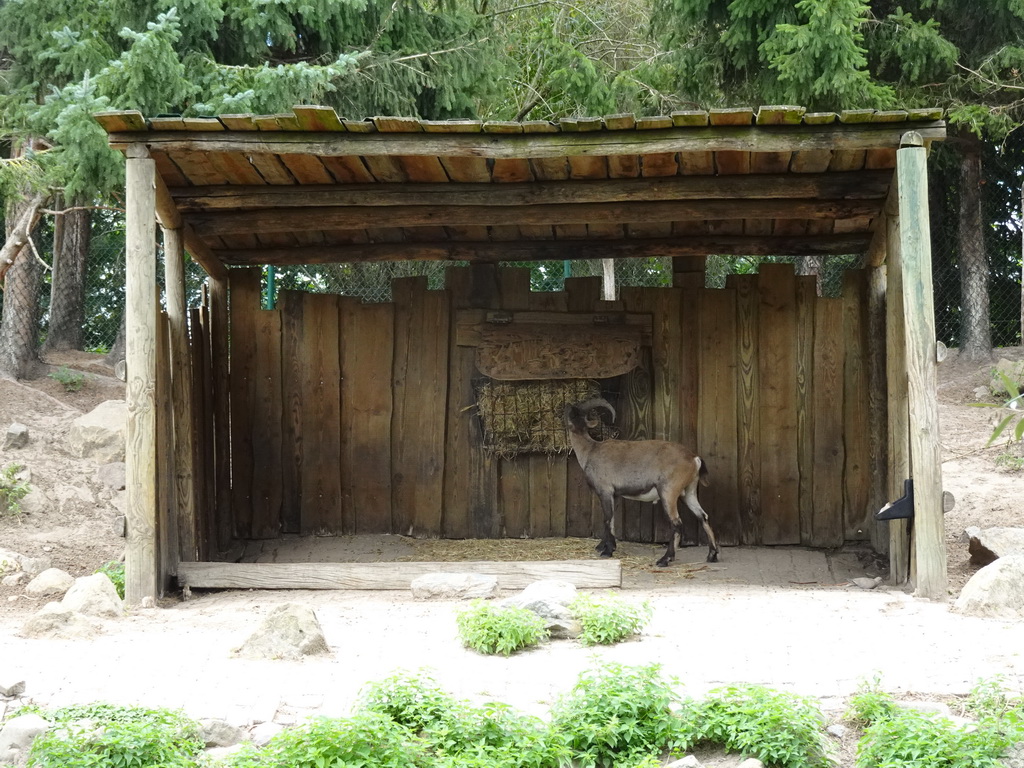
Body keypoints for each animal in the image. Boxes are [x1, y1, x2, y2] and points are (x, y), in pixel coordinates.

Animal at [569, 399, 720, 569]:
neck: (590, 450)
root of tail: (694, 458)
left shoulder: (605, 491)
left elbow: (607, 519)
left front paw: (607, 551)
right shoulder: (616, 494)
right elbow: (612, 519)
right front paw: (604, 546)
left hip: (668, 492)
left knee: (677, 523)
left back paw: (665, 559)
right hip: (689, 492)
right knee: (703, 516)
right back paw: (712, 555)